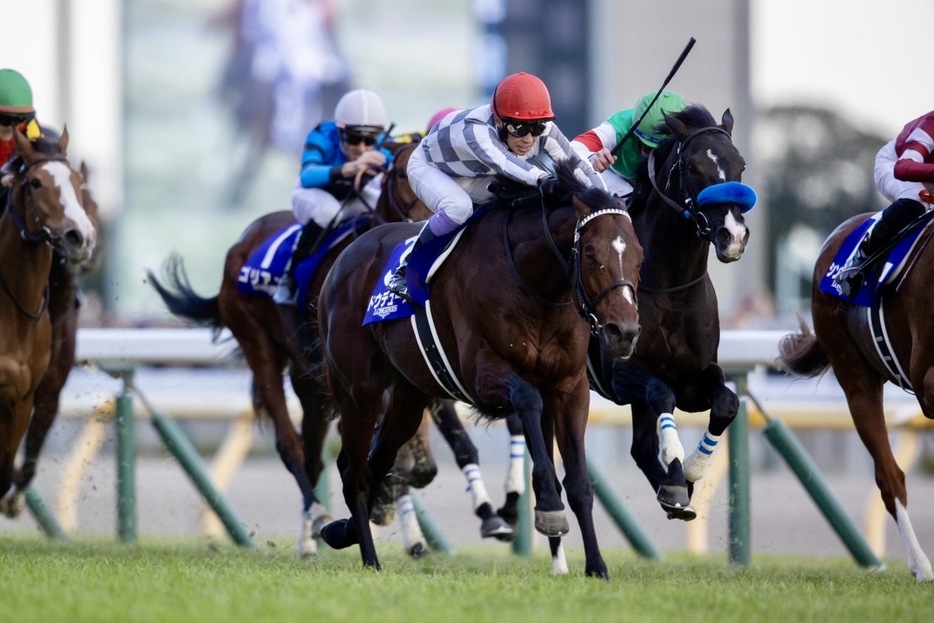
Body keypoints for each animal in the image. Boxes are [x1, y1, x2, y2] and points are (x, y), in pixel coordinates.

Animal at [314, 162, 644, 580]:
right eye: (589, 253)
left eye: (639, 254)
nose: (624, 332)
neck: (533, 283)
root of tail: (344, 259)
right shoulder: (481, 376)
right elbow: (528, 403)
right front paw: (550, 511)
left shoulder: (569, 387)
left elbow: (579, 482)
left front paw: (596, 566)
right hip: (360, 390)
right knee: (354, 469)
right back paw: (369, 558)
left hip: (408, 396)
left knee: (378, 460)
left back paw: (344, 531)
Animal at [588, 106, 756, 520]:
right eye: (694, 166)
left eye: (740, 163)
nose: (732, 236)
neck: (670, 286)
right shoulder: (621, 373)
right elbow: (661, 392)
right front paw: (678, 479)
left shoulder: (695, 377)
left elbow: (727, 403)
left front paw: (689, 476)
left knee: (640, 449)